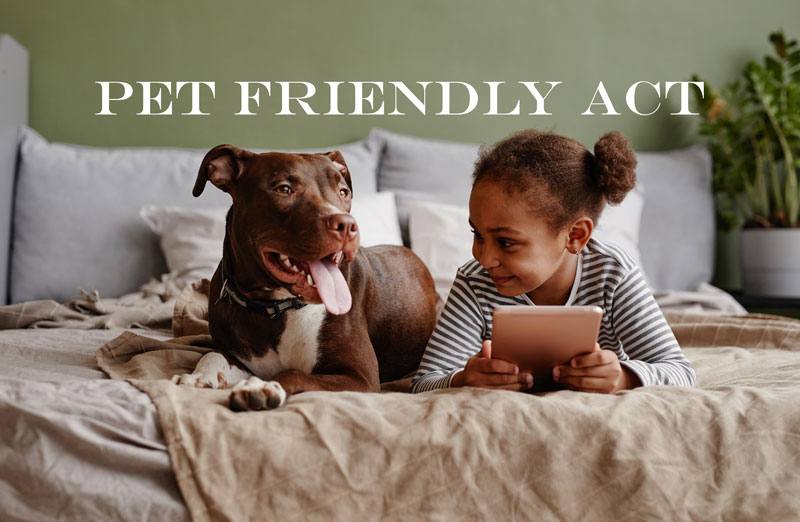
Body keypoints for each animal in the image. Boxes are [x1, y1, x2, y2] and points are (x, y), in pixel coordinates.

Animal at [171, 144, 440, 408]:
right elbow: (212, 354)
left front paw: (263, 386)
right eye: (284, 189)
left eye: (343, 192)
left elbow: (294, 373)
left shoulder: (360, 376)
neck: (273, 308)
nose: (347, 225)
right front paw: (199, 376)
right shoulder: (237, 355)